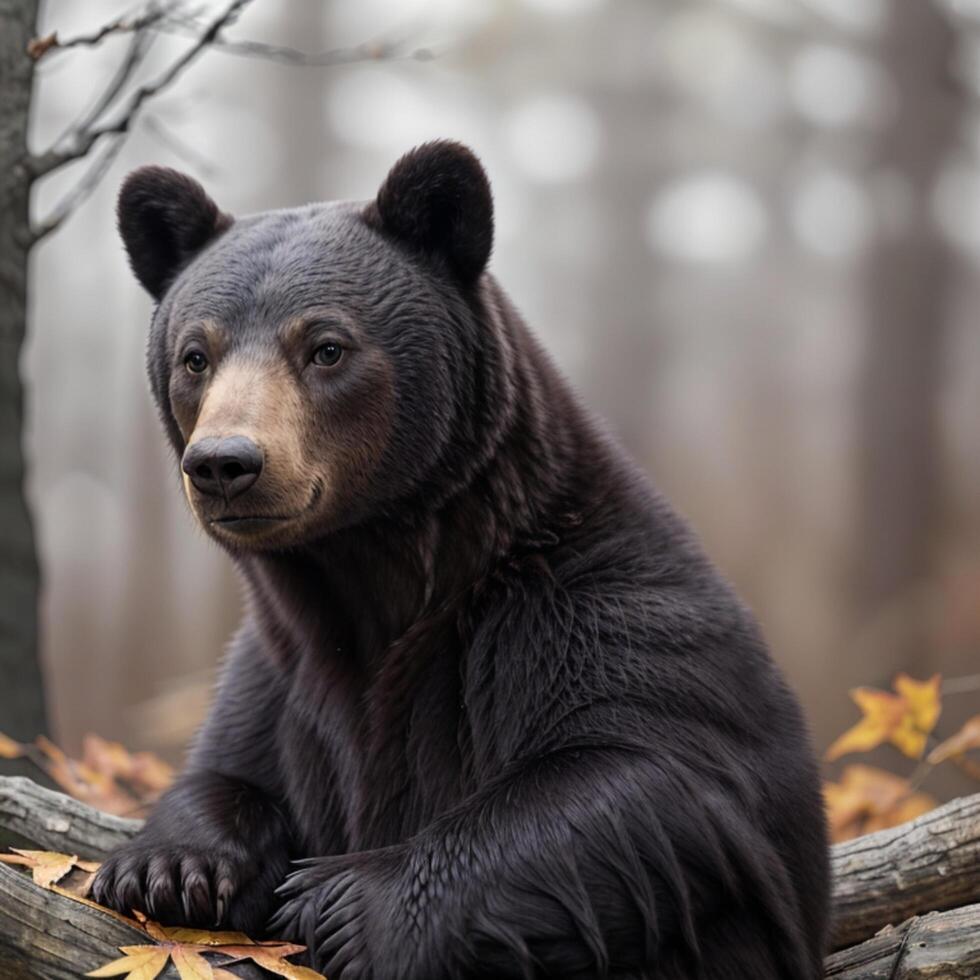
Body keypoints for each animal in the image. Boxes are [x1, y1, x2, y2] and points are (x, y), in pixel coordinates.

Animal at [90, 140, 828, 980]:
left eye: (326, 346)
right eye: (196, 355)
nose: (225, 463)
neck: (376, 575)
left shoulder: (586, 615)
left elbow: (644, 770)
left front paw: (346, 903)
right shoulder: (286, 671)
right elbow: (233, 762)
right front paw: (170, 865)